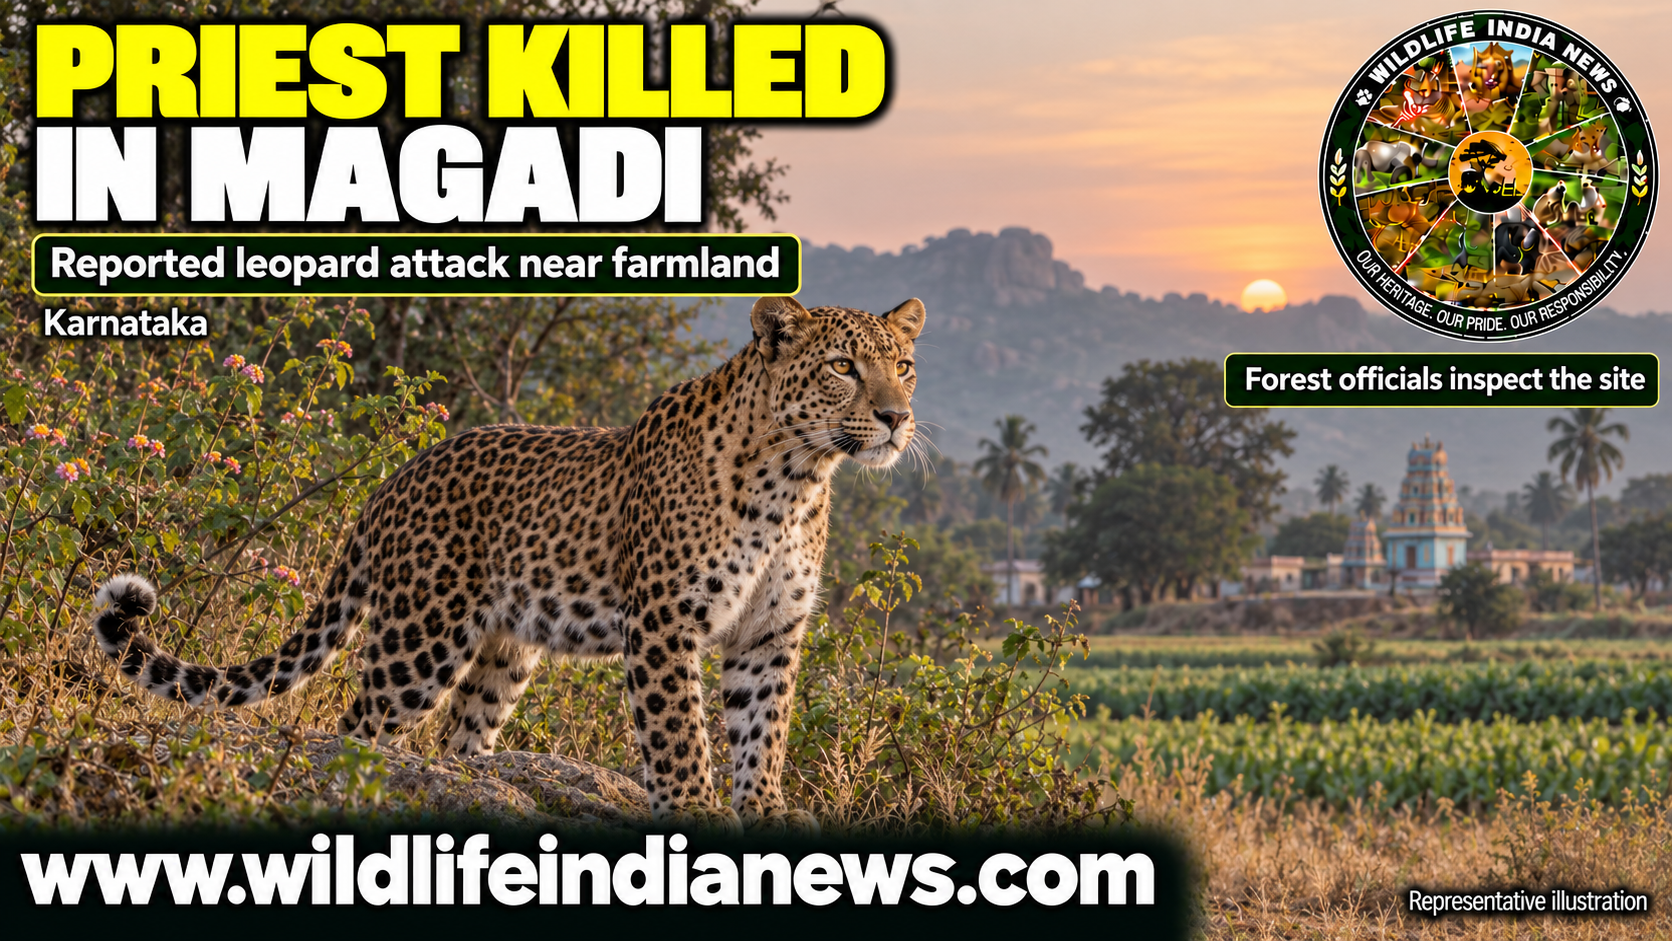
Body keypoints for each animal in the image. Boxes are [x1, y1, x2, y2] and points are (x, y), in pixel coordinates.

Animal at [88, 295, 926, 830]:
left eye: (905, 365)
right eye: (843, 366)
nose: (896, 416)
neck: (799, 476)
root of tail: (391, 480)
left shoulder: (768, 634)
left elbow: (764, 731)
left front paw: (765, 810)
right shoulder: (666, 623)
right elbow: (680, 734)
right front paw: (697, 810)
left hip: (504, 649)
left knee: (460, 736)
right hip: (419, 638)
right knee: (362, 727)